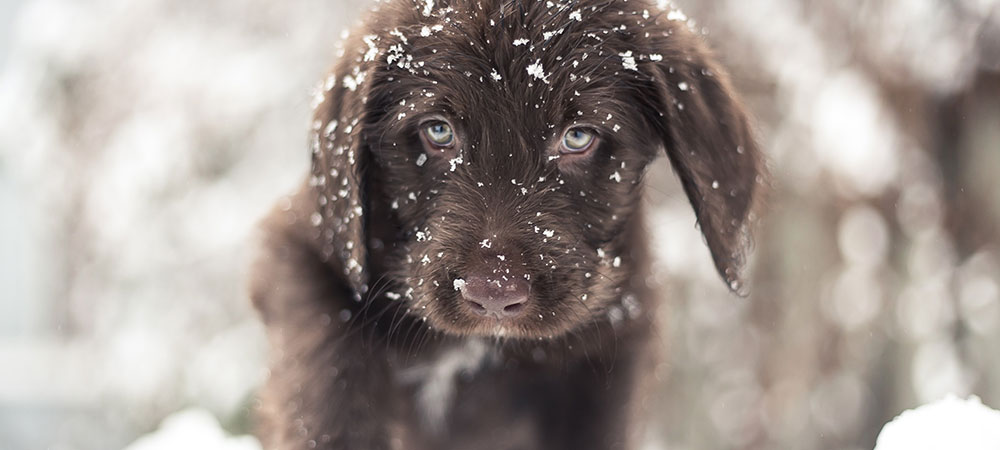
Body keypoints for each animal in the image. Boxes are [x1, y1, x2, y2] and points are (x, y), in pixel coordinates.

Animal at [252, 1, 764, 448]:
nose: (493, 294)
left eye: (578, 137)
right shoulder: (304, 250)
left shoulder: (611, 349)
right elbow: (329, 376)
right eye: (438, 131)